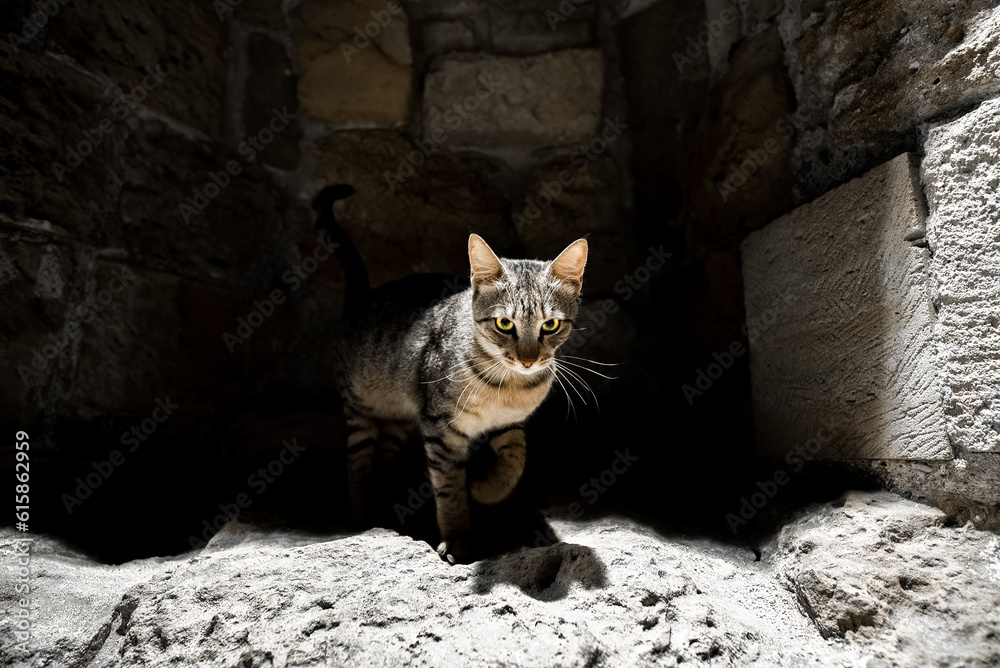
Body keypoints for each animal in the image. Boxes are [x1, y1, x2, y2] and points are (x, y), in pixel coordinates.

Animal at [318, 184, 584, 564]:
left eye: (550, 325)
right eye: (504, 323)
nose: (528, 360)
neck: (509, 386)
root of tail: (363, 296)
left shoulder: (508, 423)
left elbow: (515, 460)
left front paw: (486, 489)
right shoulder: (439, 428)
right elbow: (449, 487)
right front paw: (457, 537)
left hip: (403, 409)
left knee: (387, 448)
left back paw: (400, 490)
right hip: (360, 406)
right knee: (358, 458)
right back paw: (365, 509)